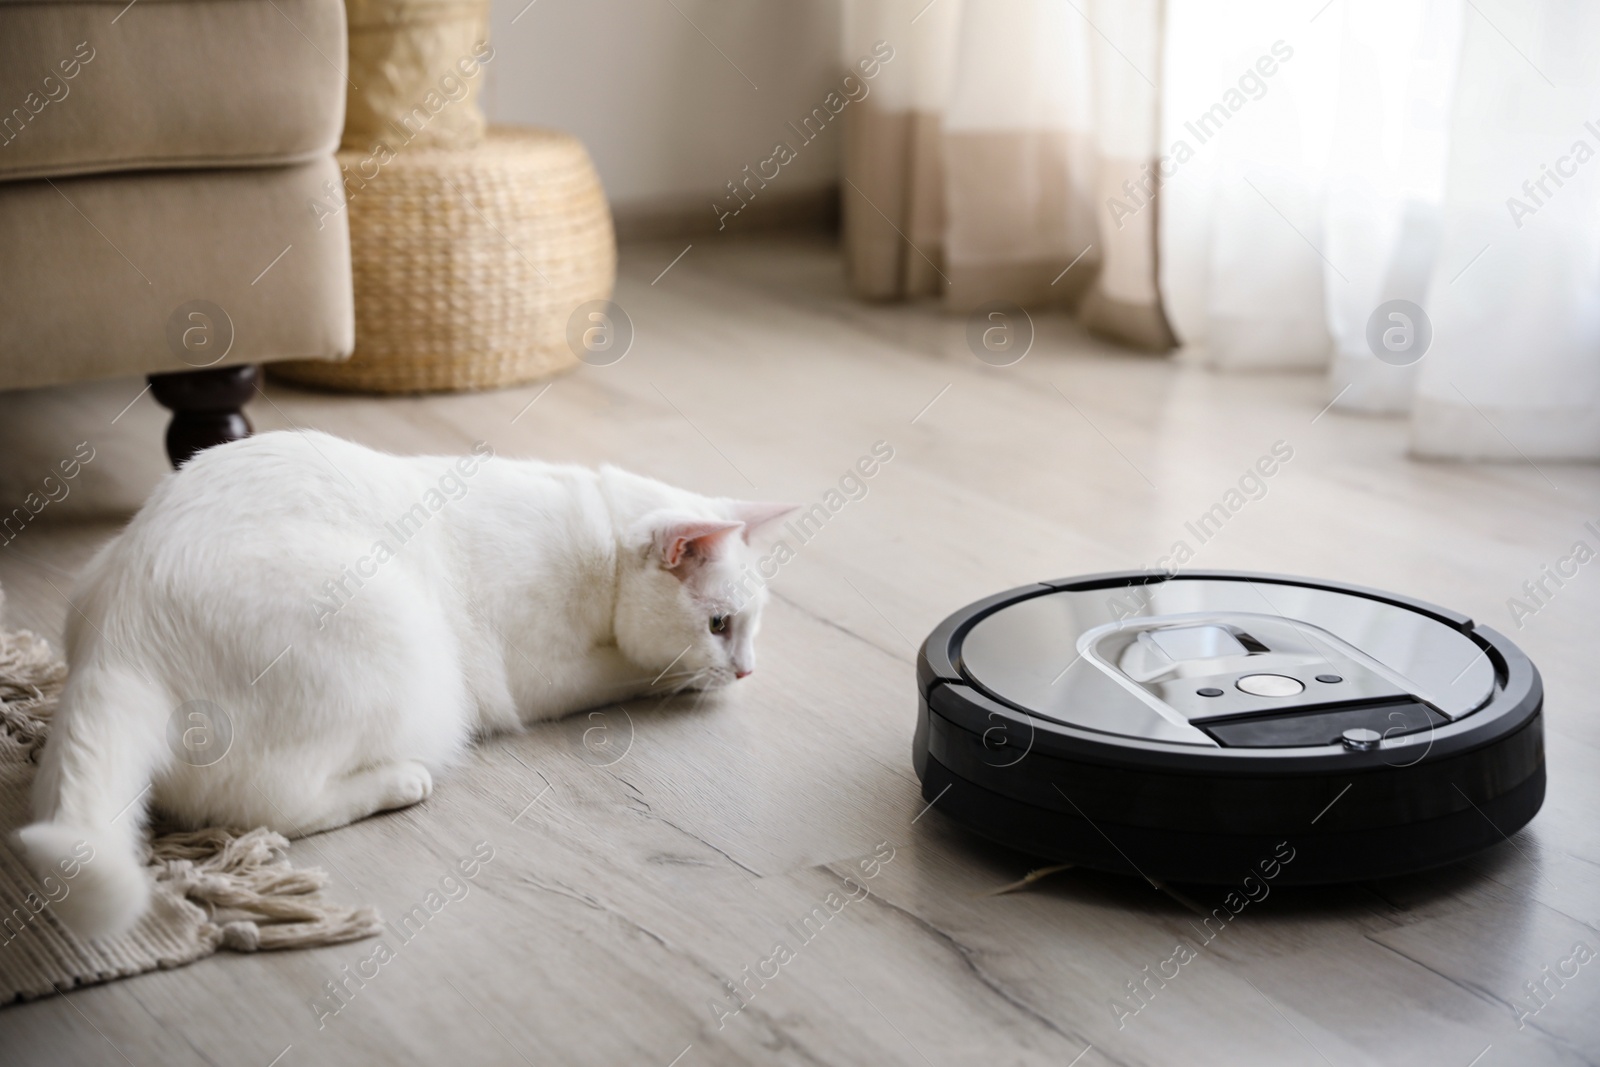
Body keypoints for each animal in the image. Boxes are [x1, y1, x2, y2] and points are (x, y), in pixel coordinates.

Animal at [7, 428, 793, 940]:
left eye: (753, 625)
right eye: (719, 624)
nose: (748, 668)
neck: (599, 534)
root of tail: (122, 634)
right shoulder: (546, 674)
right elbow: (633, 668)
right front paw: (685, 678)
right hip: (396, 637)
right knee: (269, 807)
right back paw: (402, 780)